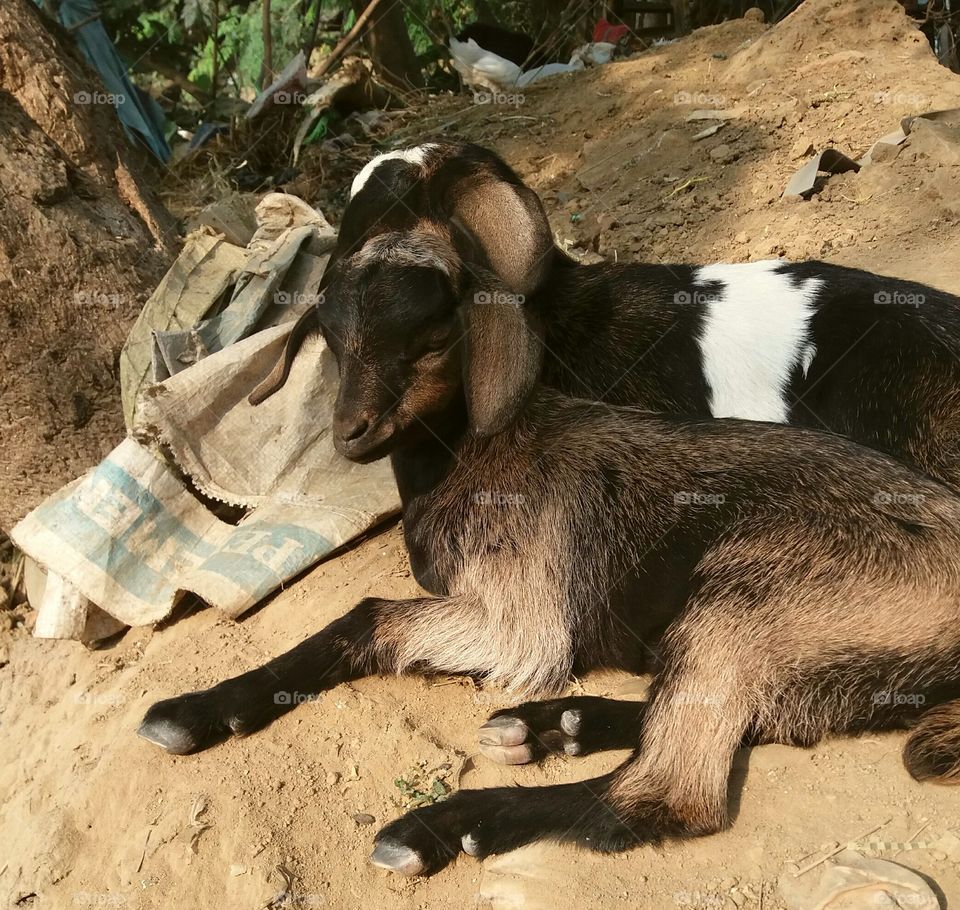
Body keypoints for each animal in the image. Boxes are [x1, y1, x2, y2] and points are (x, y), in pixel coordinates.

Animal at [140, 229, 960, 876]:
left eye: (433, 338)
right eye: (335, 343)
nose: (352, 432)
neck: (474, 452)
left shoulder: (521, 622)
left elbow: (368, 615)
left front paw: (194, 710)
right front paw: (202, 709)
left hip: (748, 597)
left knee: (664, 792)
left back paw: (447, 823)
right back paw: (556, 725)